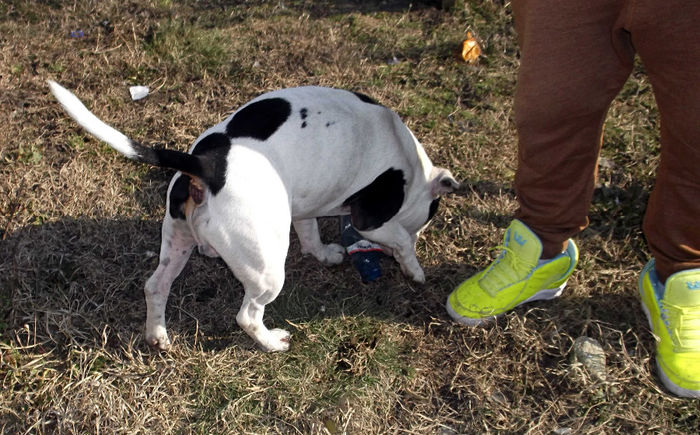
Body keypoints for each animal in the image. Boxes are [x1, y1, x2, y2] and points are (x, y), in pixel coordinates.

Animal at [46, 82, 456, 354]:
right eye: (427, 220)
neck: (413, 167)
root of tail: (208, 165)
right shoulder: (372, 218)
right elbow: (401, 239)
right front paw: (414, 269)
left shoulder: (304, 205)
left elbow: (310, 235)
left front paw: (324, 254)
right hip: (267, 272)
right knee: (247, 315)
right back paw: (273, 342)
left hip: (177, 242)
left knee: (155, 286)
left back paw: (158, 335)